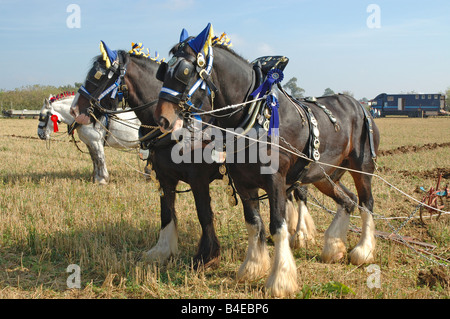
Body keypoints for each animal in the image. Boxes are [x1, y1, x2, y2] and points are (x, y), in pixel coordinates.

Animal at [154, 23, 380, 298]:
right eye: (163, 70)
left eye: (184, 71)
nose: (162, 119)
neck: (254, 116)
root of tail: (360, 105)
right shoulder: (243, 182)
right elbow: (253, 223)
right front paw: (252, 268)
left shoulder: (276, 182)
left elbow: (277, 226)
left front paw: (279, 280)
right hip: (323, 176)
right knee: (348, 200)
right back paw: (334, 248)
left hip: (362, 167)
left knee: (366, 202)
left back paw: (363, 251)